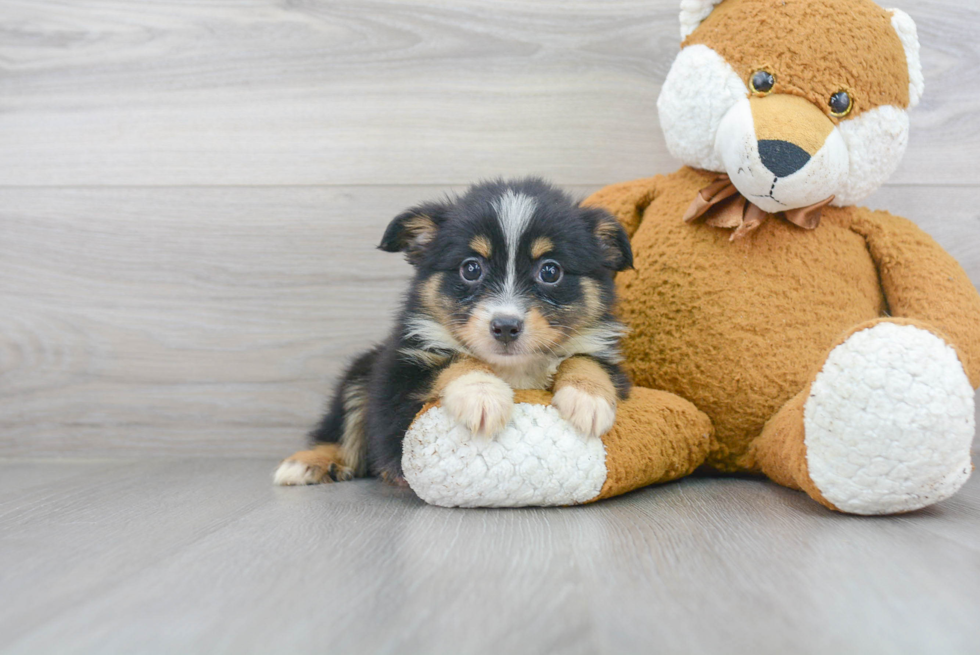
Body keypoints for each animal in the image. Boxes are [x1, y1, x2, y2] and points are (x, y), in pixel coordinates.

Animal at [272, 179, 632, 486]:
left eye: (550, 271)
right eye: (471, 268)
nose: (505, 327)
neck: (513, 368)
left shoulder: (611, 363)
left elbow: (584, 359)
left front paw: (588, 400)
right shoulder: (397, 378)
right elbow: (454, 361)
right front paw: (482, 395)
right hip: (359, 374)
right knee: (342, 430)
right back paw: (308, 462)